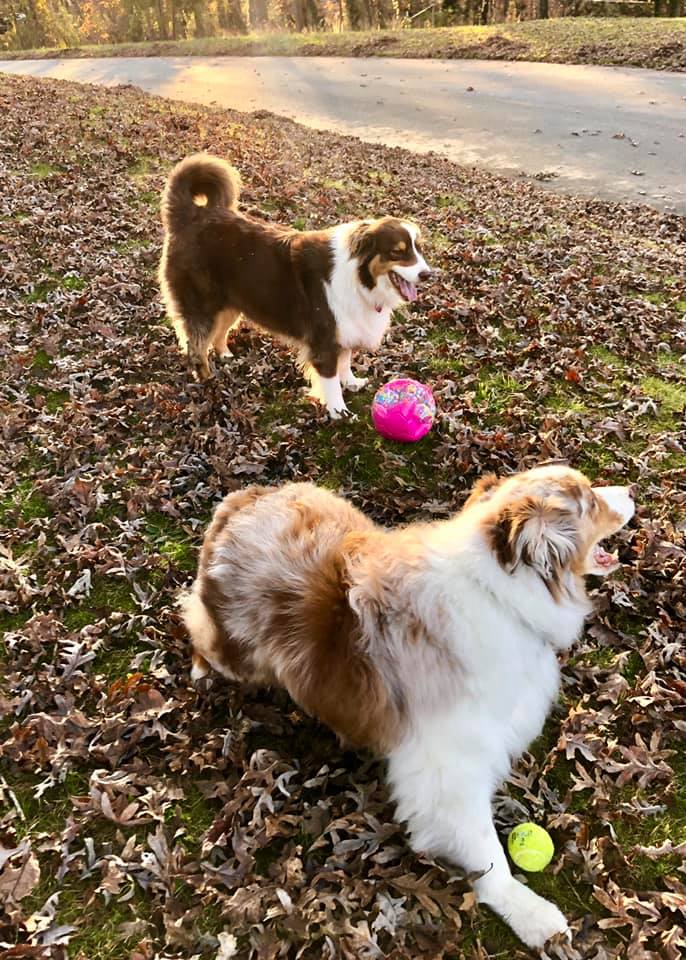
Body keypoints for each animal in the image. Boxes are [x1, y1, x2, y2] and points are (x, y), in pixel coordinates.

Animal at [159, 154, 432, 416]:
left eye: (419, 249)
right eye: (397, 252)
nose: (428, 275)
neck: (359, 278)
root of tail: (192, 215)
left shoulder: (344, 330)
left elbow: (345, 361)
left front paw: (351, 382)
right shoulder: (324, 340)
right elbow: (331, 380)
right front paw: (339, 411)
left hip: (232, 302)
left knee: (218, 332)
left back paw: (224, 354)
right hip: (203, 305)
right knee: (196, 346)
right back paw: (207, 380)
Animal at [181, 466, 636, 952]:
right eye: (589, 501)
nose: (630, 490)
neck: (501, 595)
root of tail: (245, 498)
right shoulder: (446, 771)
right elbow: (486, 850)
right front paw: (527, 911)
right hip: (235, 651)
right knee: (194, 621)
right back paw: (200, 668)